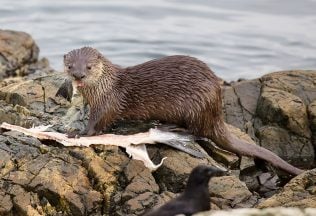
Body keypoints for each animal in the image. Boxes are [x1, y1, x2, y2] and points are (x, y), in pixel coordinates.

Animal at [63, 47, 304, 176]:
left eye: (89, 67)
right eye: (70, 66)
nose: (78, 75)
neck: (104, 87)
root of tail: (216, 112)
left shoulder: (108, 103)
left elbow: (98, 123)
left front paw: (78, 133)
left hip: (195, 106)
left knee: (197, 131)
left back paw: (170, 127)